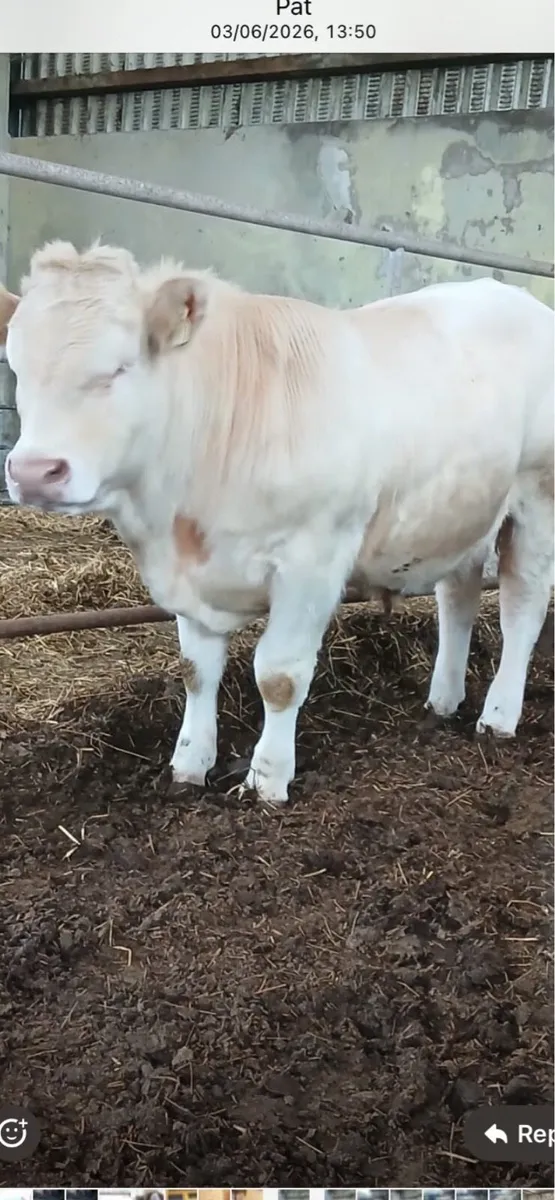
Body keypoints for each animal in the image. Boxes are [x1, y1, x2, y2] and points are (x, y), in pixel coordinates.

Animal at [2, 242, 553, 805]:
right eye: (18, 368)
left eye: (119, 368)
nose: (34, 472)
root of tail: (509, 294)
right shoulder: (193, 573)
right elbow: (196, 671)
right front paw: (189, 767)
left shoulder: (313, 560)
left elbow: (279, 676)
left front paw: (266, 781)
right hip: (463, 511)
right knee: (458, 600)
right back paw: (442, 702)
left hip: (537, 499)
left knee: (522, 610)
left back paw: (497, 718)